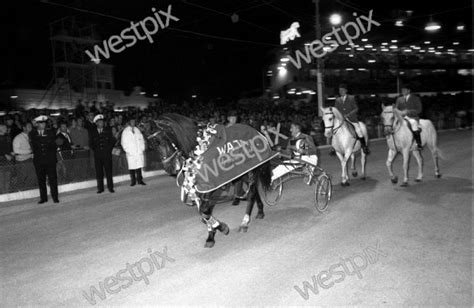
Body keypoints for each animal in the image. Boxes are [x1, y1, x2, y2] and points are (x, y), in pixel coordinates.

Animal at [150, 113, 272, 248]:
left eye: (164, 139)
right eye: (154, 144)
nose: (169, 167)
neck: (200, 149)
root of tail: (257, 131)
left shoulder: (211, 186)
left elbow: (204, 211)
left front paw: (222, 227)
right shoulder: (199, 186)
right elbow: (204, 212)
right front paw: (211, 236)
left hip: (251, 171)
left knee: (251, 193)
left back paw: (245, 222)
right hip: (242, 173)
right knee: (254, 192)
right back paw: (260, 211)